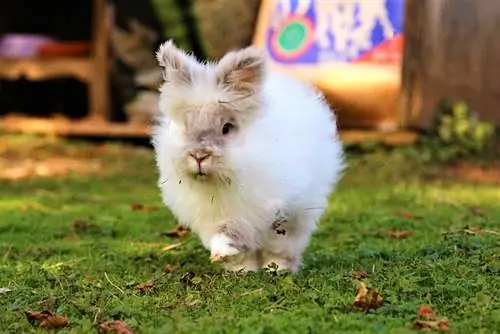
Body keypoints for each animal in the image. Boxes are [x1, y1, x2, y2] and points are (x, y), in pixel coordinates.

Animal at [150, 40, 344, 272]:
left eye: (226, 128)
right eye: (186, 126)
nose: (199, 155)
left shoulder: (263, 210)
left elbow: (245, 234)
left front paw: (227, 254)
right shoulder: (215, 217)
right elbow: (227, 235)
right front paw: (227, 259)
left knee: (283, 246)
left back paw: (277, 268)